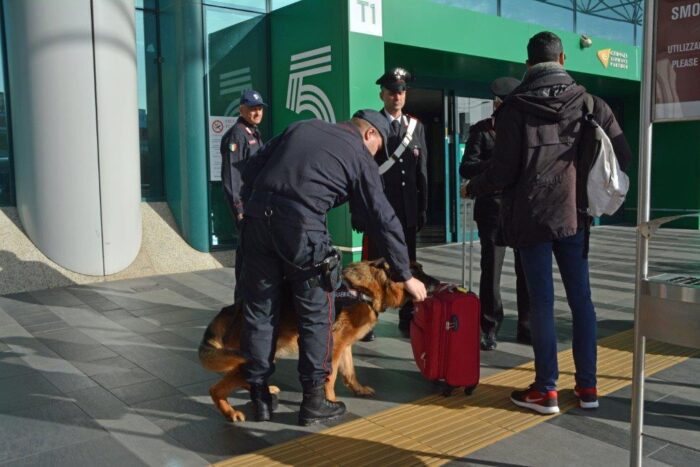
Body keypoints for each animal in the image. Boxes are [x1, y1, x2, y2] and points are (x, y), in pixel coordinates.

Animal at [198, 260, 438, 424]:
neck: (369, 288)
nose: (439, 283)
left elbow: (350, 372)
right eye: (417, 272)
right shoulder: (335, 346)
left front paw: (358, 389)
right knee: (215, 389)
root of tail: (233, 308)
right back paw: (231, 412)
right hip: (255, 356)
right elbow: (330, 377)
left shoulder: (345, 345)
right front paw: (330, 401)